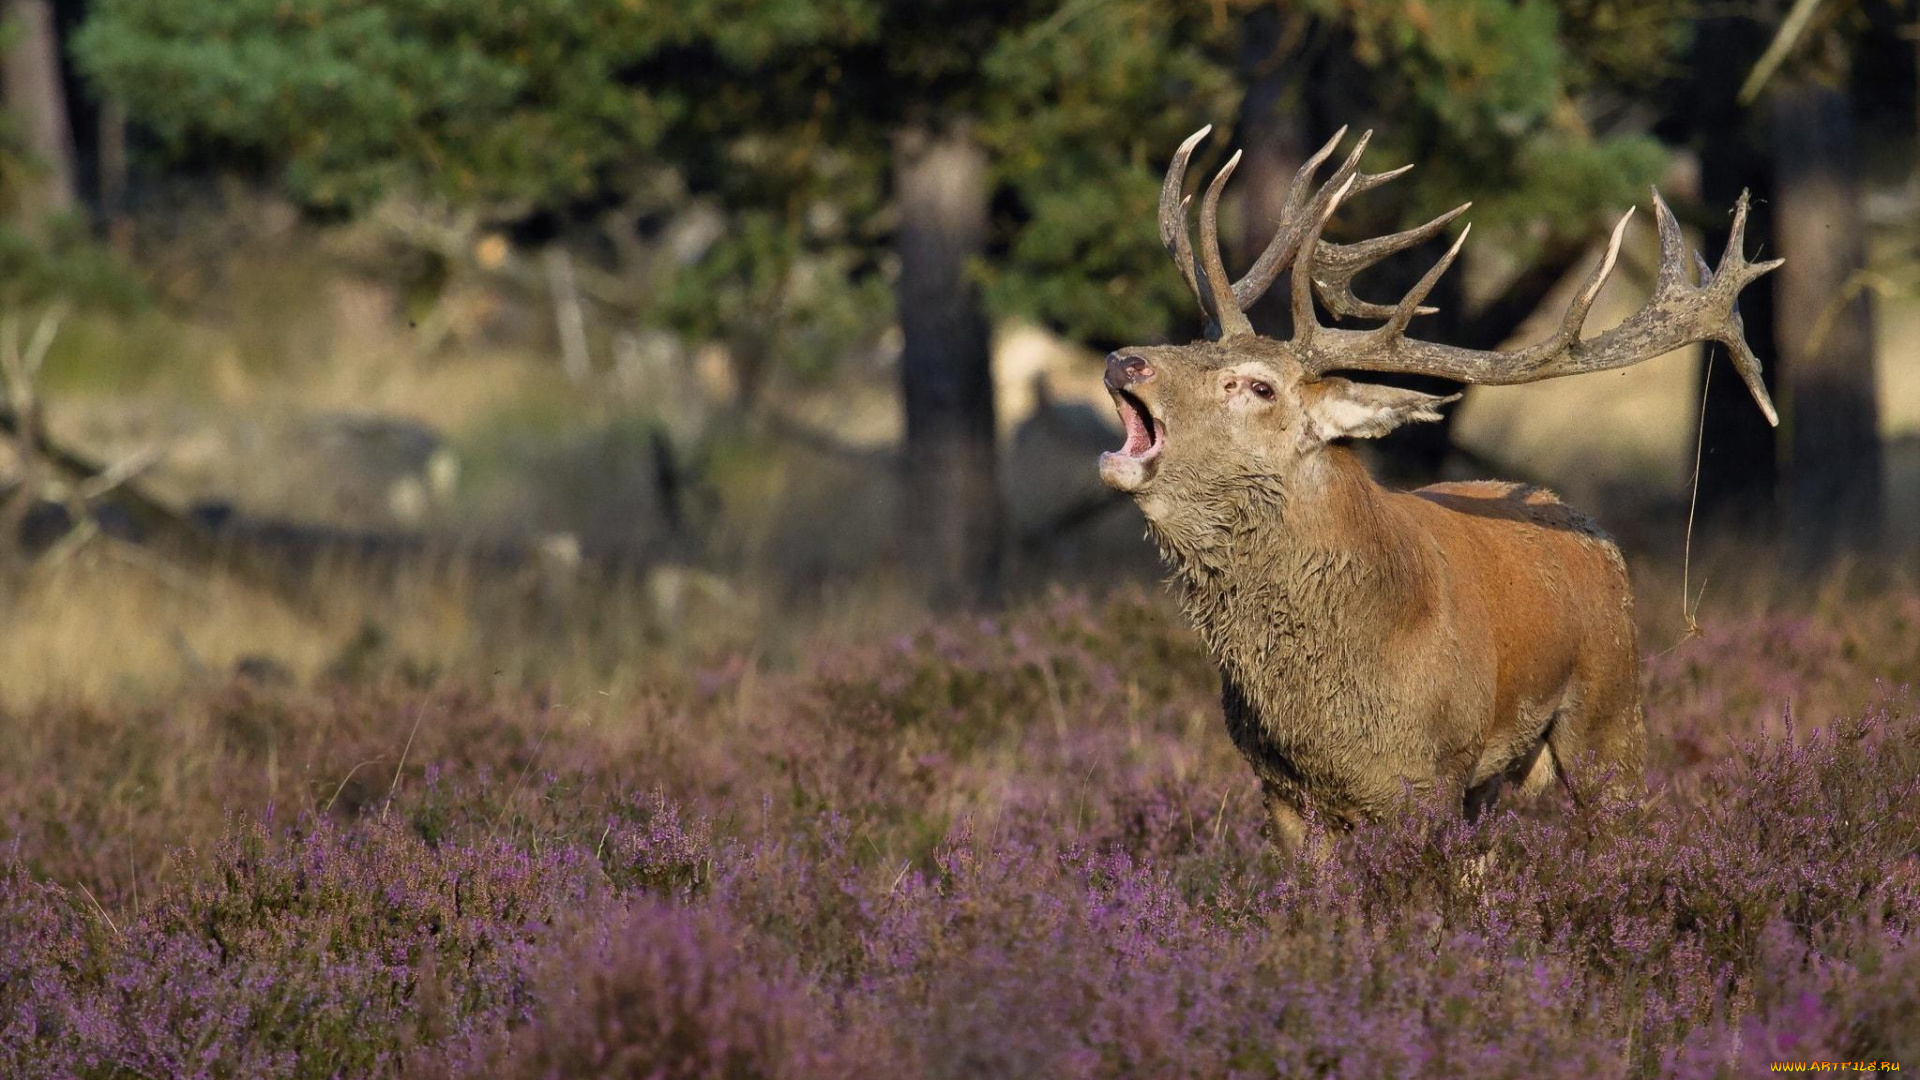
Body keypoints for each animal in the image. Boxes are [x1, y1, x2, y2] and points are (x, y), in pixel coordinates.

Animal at [1105, 125, 1774, 849]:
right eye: (1193, 344)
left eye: (1258, 386)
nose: (1124, 360)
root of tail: (1587, 525)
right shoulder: (1281, 792)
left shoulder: (1434, 775)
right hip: (1497, 781)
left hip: (1612, 711)